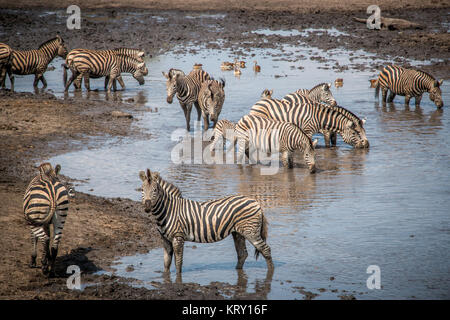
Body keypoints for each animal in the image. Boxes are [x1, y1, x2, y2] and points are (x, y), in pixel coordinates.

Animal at [139, 170, 272, 276]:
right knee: (242, 253)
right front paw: (165, 278)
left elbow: (178, 263)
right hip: (238, 233)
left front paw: (178, 279)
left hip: (251, 231)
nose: (147, 206)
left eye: (155, 190)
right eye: (142, 190)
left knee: (265, 249)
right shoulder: (165, 239)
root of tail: (256, 202)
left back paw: (271, 272)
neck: (169, 211)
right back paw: (237, 270)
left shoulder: (178, 237)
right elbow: (166, 263)